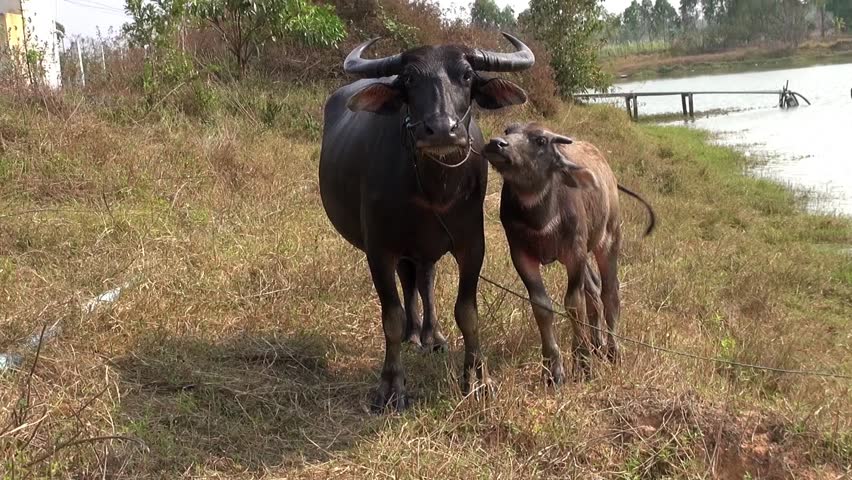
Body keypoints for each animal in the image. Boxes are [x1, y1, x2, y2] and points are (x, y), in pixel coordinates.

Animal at [319, 34, 535, 411]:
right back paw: (413, 333)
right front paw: (391, 387)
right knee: (410, 283)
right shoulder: (379, 249)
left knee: (424, 280)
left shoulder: (471, 244)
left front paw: (477, 379)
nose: (441, 130)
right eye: (408, 79)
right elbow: (390, 317)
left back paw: (431, 335)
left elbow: (467, 312)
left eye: (466, 75)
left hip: (425, 247)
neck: (434, 190)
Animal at [482, 122, 656, 383]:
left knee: (609, 292)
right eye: (509, 130)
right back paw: (597, 343)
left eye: (540, 140)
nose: (496, 144)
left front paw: (583, 363)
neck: (542, 218)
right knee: (594, 287)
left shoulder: (575, 254)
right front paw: (553, 369)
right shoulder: (521, 256)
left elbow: (574, 304)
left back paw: (613, 350)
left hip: (609, 239)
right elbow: (542, 306)